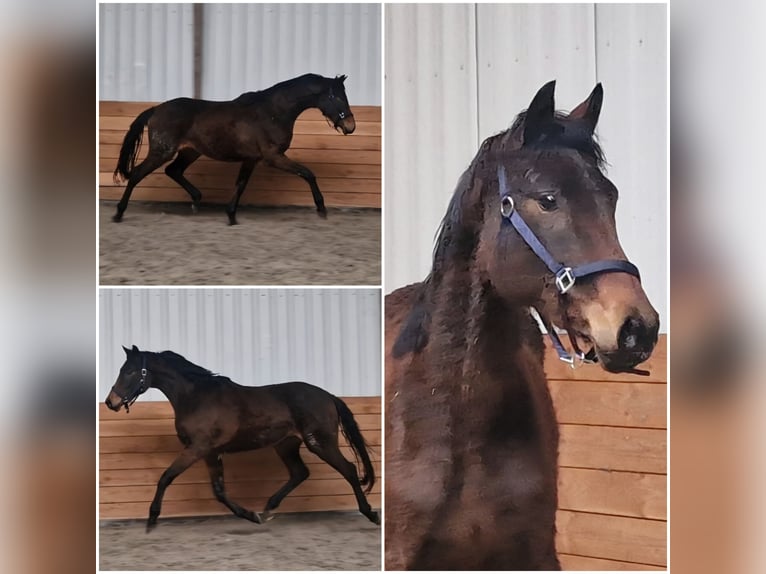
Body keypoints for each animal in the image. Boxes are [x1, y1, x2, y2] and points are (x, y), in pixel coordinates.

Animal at [104, 345, 379, 531]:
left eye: (130, 371)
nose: (111, 402)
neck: (195, 397)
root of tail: (328, 396)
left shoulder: (197, 448)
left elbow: (166, 477)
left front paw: (152, 518)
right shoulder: (210, 452)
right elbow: (219, 491)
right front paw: (250, 515)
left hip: (320, 443)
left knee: (349, 470)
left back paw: (371, 514)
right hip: (286, 445)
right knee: (300, 473)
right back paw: (267, 510)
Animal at [110, 73, 356, 225]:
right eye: (335, 96)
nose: (350, 126)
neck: (273, 112)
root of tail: (155, 109)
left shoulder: (251, 159)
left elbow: (241, 184)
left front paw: (231, 216)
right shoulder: (273, 157)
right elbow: (308, 173)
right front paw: (321, 209)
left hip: (190, 151)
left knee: (173, 171)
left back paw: (196, 201)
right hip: (162, 151)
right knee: (137, 174)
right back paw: (118, 213)